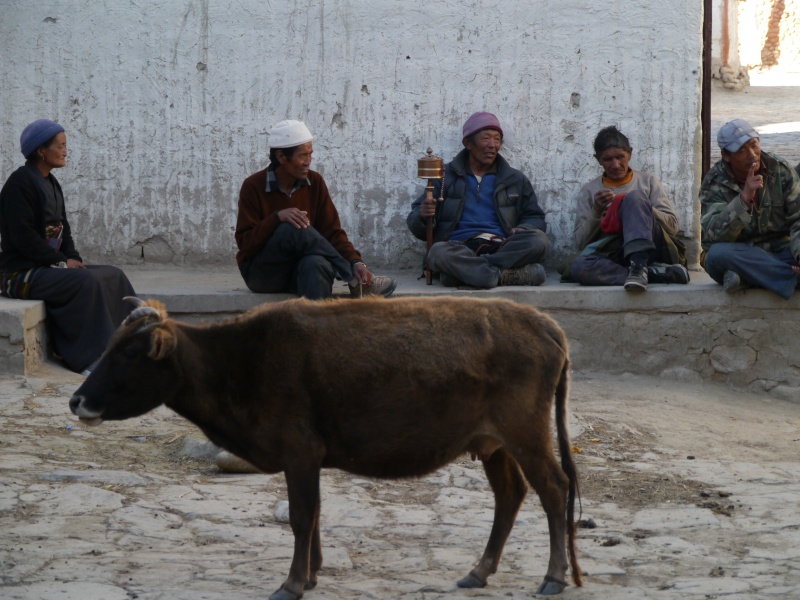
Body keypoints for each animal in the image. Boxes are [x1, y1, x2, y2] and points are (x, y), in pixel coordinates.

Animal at [69, 296, 580, 600]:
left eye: (128, 354)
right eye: (111, 345)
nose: (77, 400)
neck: (239, 360)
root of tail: (546, 325)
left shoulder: (299, 452)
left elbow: (301, 515)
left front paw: (293, 582)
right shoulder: (307, 459)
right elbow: (312, 516)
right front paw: (311, 574)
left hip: (526, 435)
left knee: (554, 489)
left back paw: (554, 576)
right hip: (494, 444)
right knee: (511, 495)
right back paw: (480, 570)